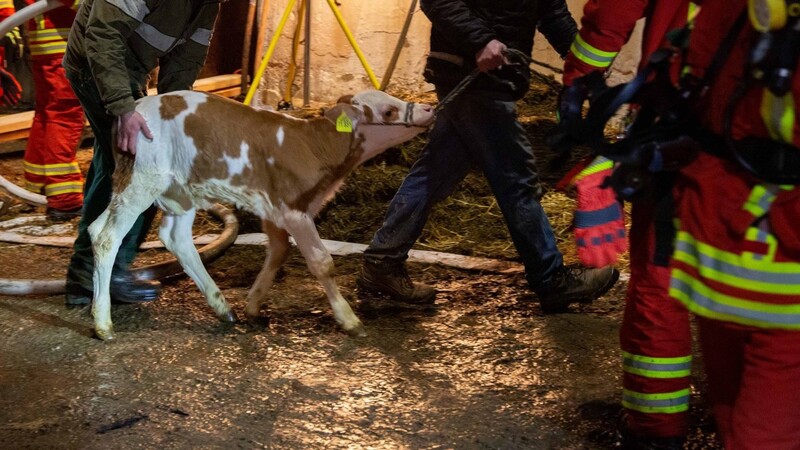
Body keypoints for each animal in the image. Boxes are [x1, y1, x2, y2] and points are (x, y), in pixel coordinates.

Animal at [88, 89, 434, 340]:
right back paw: (103, 324)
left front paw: (253, 305)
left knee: (168, 238)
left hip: (181, 190)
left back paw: (222, 306)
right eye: (388, 111)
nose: (429, 109)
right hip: (143, 181)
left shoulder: (274, 208)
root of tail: (135, 108)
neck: (313, 145)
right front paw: (349, 320)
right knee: (107, 237)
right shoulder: (294, 209)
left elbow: (278, 252)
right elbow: (322, 263)